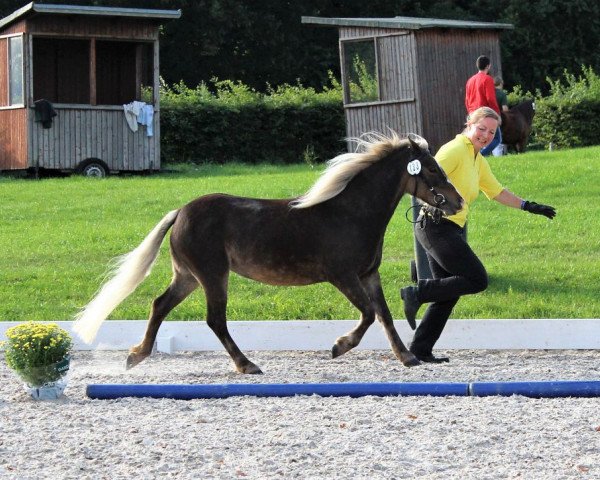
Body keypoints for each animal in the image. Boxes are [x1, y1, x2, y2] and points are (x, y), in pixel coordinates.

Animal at [72, 133, 462, 374]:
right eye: (431, 169)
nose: (457, 201)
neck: (351, 212)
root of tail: (180, 212)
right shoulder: (342, 275)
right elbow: (367, 314)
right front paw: (339, 346)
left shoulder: (369, 274)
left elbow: (384, 315)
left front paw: (407, 357)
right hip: (213, 276)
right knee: (215, 320)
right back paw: (246, 365)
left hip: (188, 277)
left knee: (159, 305)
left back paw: (136, 356)